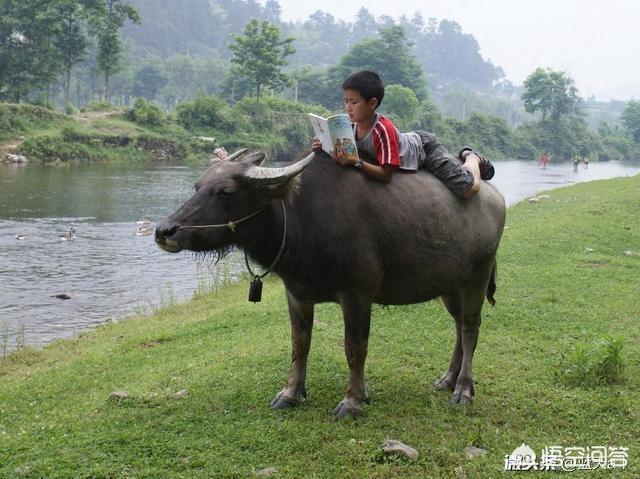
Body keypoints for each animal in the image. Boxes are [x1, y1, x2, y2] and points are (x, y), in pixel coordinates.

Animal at [155, 150, 504, 416]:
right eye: (197, 186)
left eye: (227, 192)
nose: (164, 231)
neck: (301, 219)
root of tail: (496, 198)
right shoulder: (297, 294)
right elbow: (299, 344)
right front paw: (290, 393)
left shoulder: (358, 295)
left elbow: (355, 348)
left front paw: (353, 400)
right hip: (450, 287)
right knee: (458, 325)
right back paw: (448, 378)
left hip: (477, 278)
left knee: (471, 328)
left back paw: (463, 389)